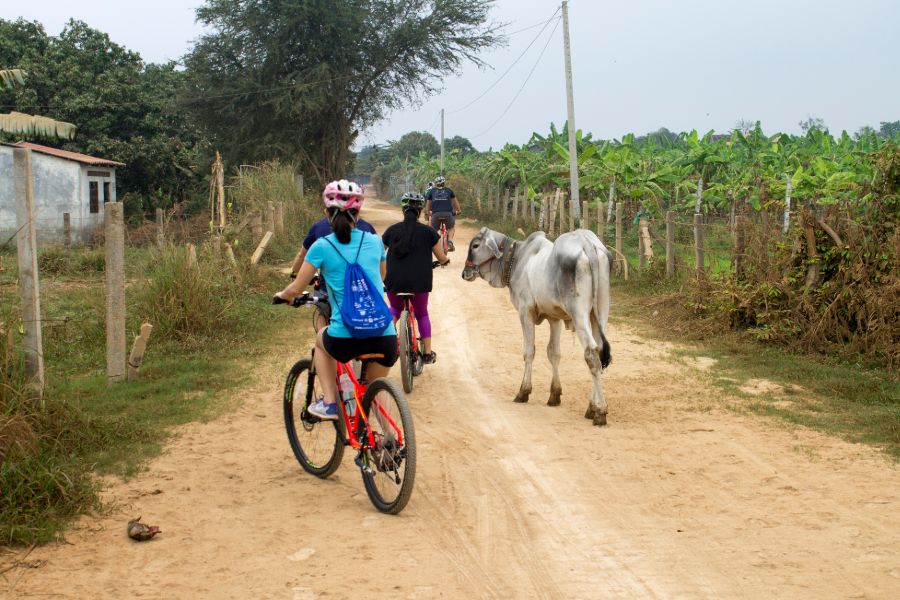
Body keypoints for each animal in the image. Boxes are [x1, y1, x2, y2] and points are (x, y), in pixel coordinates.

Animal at [464, 226, 612, 426]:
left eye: (475, 245)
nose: (465, 273)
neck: (518, 258)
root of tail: (586, 242)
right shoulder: (555, 318)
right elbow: (554, 353)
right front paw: (554, 395)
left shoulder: (525, 312)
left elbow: (529, 351)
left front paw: (523, 391)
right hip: (600, 313)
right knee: (600, 352)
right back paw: (592, 407)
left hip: (579, 315)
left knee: (591, 353)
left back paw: (600, 412)